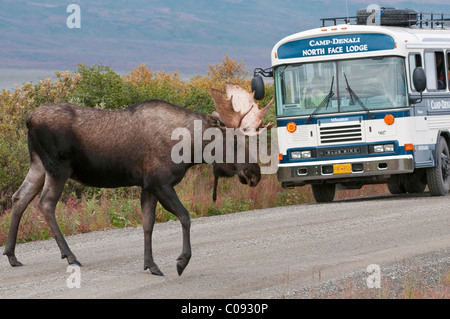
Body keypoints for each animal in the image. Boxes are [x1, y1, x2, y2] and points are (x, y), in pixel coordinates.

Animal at [3, 84, 272, 276]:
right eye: (235, 142)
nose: (254, 173)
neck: (190, 149)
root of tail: (28, 120)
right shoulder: (160, 182)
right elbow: (185, 217)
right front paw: (181, 261)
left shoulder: (147, 186)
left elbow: (147, 223)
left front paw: (150, 264)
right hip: (58, 167)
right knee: (45, 203)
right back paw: (70, 256)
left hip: (38, 165)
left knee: (20, 197)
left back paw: (12, 255)